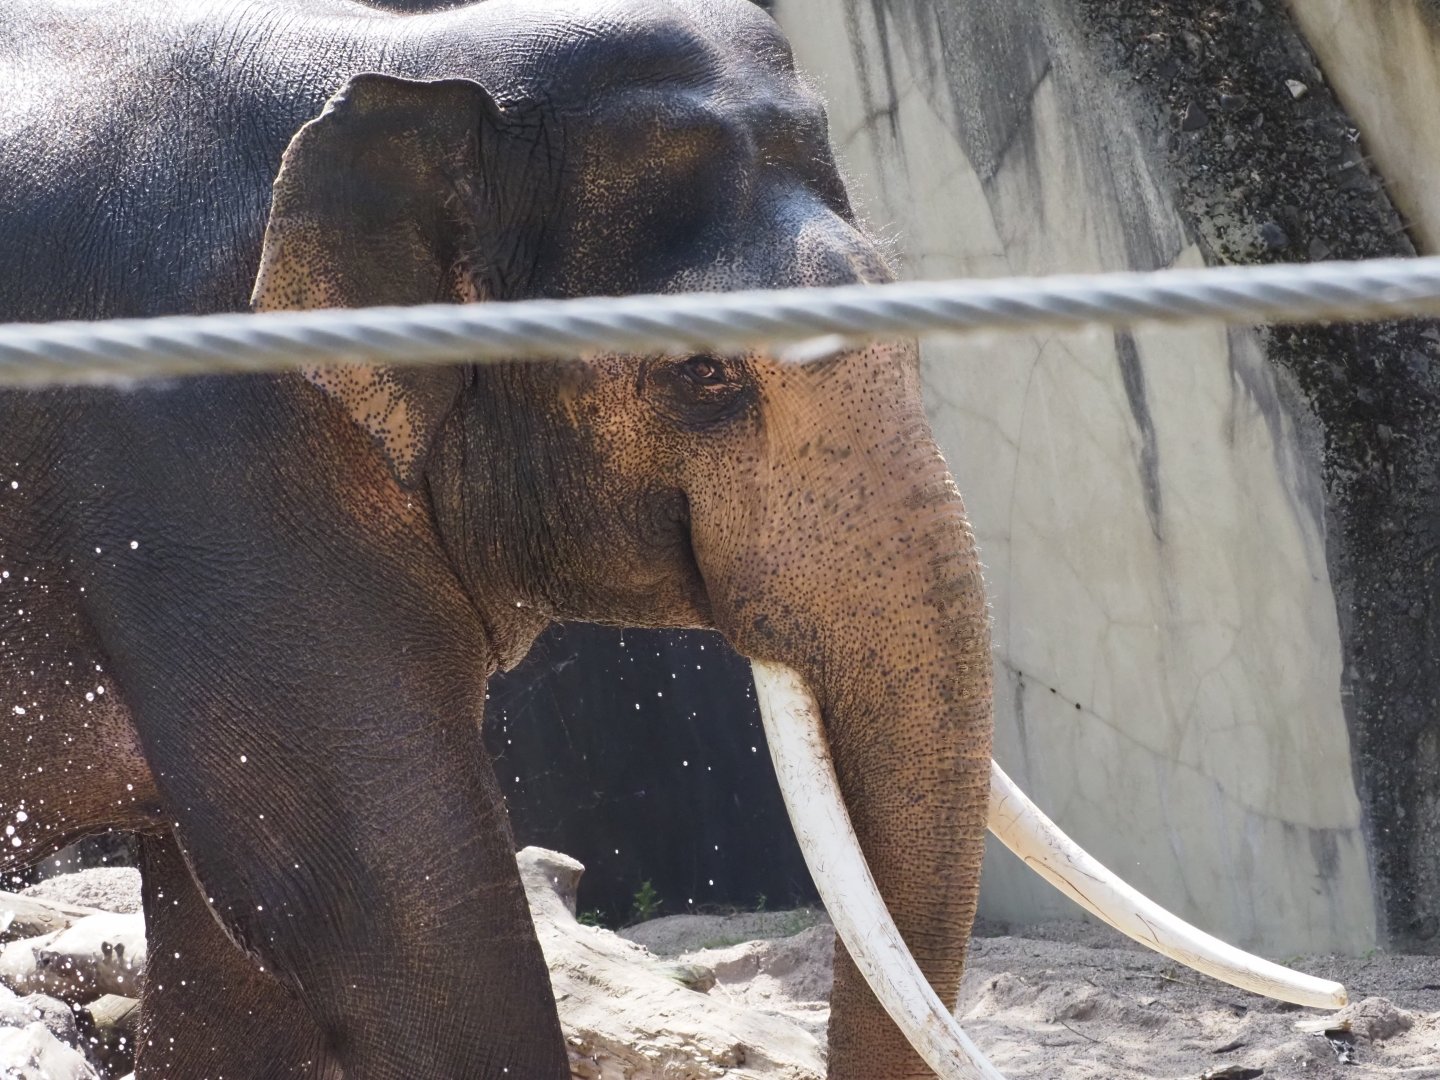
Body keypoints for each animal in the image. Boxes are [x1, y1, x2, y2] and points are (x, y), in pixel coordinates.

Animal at [0, 1, 1343, 1077]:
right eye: (703, 374)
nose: (1333, 999)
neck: (406, 58)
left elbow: (241, 972)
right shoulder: (205, 447)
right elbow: (394, 908)